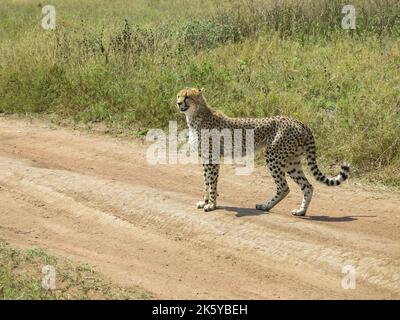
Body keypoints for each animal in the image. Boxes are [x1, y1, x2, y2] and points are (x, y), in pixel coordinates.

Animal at [177, 87, 348, 216]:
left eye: (187, 96)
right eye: (178, 95)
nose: (178, 103)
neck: (195, 116)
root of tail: (298, 121)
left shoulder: (212, 159)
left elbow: (211, 183)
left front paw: (211, 205)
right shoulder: (205, 159)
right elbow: (206, 182)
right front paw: (205, 201)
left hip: (273, 156)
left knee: (284, 187)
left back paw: (266, 206)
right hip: (291, 162)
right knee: (307, 186)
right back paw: (300, 211)